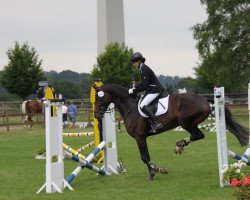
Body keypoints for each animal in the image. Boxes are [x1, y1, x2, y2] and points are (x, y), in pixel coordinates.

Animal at [93, 83, 248, 180]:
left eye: (99, 98)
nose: (97, 116)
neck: (130, 107)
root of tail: (204, 98)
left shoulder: (140, 137)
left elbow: (144, 157)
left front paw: (155, 171)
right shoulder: (142, 137)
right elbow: (146, 157)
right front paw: (155, 171)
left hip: (186, 122)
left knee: (198, 135)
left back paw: (180, 144)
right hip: (189, 123)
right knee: (197, 135)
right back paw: (180, 144)